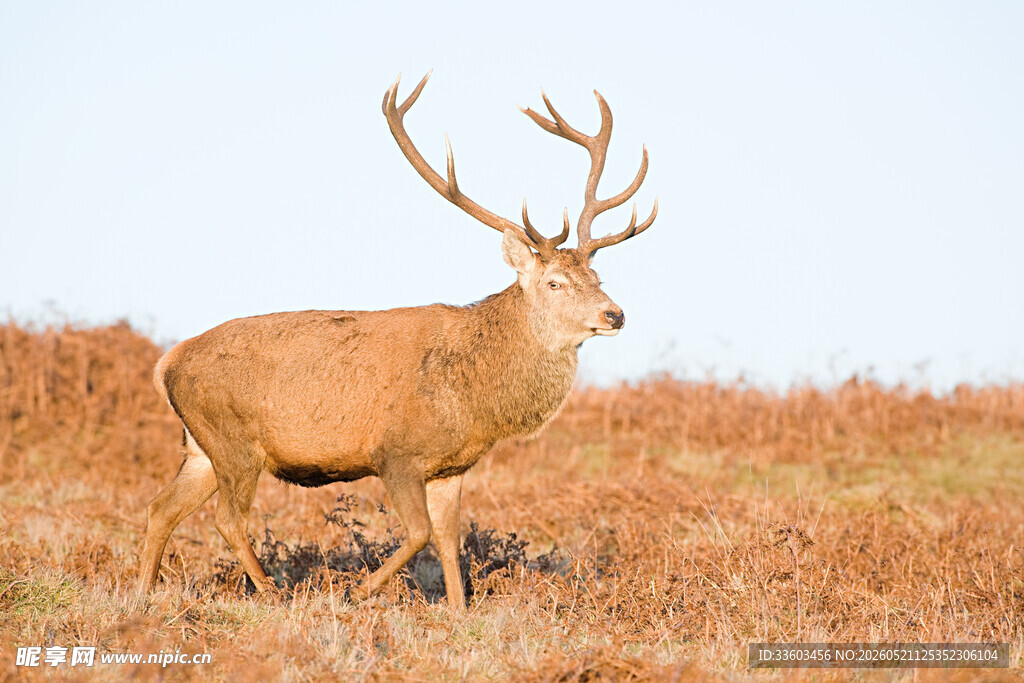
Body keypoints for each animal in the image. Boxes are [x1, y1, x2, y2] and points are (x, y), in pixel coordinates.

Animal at [138, 73, 657, 611]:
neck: (474, 401)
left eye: (597, 276)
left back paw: (141, 594)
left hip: (200, 447)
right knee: (227, 518)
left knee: (161, 507)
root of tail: (166, 363)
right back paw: (273, 593)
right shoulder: (395, 454)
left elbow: (448, 539)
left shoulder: (451, 467)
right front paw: (358, 590)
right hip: (235, 440)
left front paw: (458, 610)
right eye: (555, 282)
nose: (615, 314)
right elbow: (418, 532)